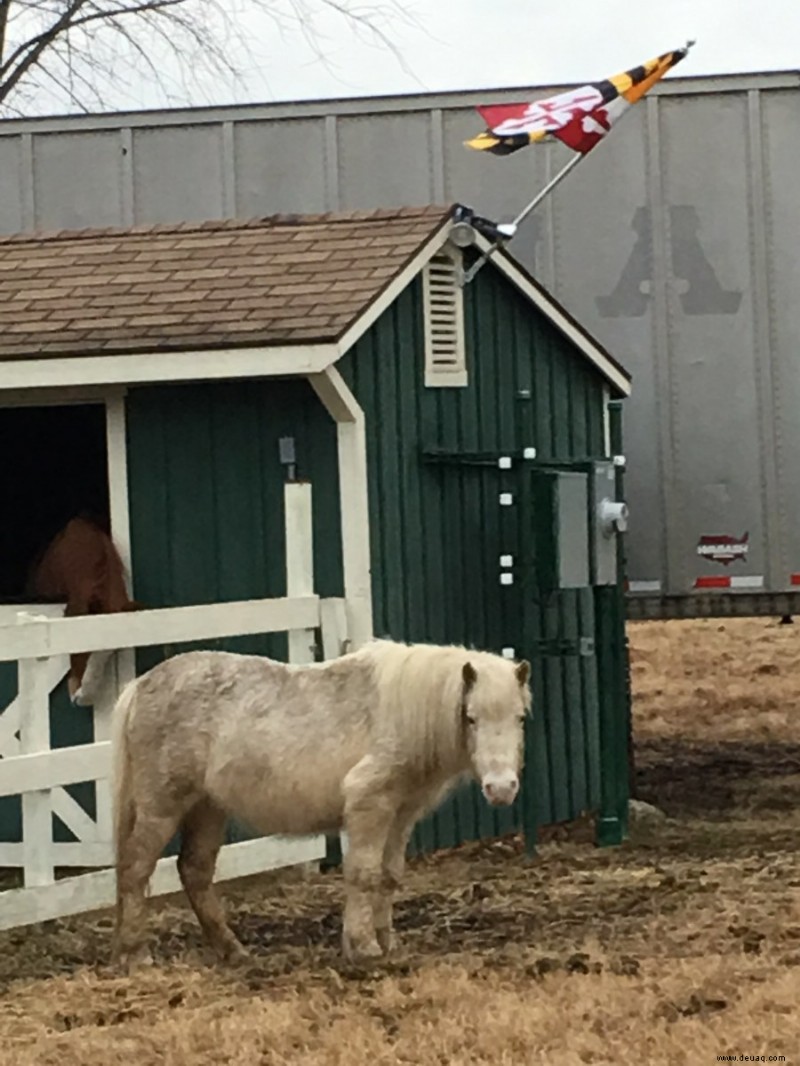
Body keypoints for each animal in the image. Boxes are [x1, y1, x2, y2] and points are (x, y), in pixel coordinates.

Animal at [109, 635, 529, 972]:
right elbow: (363, 874)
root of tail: (141, 684)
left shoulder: (401, 813)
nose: (502, 788)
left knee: (194, 871)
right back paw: (135, 953)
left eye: (521, 717)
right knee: (136, 868)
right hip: (162, 806)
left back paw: (232, 950)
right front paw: (363, 946)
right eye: (471, 718)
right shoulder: (369, 806)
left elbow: (389, 876)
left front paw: (386, 941)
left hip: (207, 808)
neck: (400, 714)